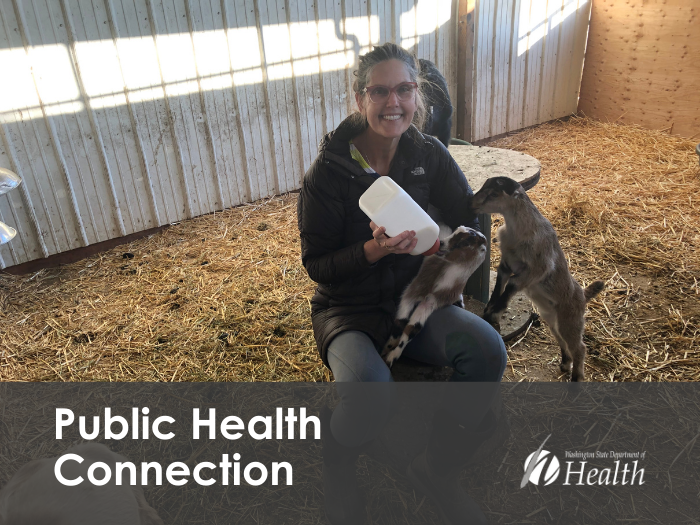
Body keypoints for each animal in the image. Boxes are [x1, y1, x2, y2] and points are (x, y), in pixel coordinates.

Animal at [382, 227, 486, 366]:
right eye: (455, 232)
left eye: (466, 242)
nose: (440, 243)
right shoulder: (412, 291)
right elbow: (401, 321)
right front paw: (387, 348)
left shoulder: (430, 303)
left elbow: (413, 329)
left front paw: (391, 356)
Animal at [474, 176, 604, 380]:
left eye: (494, 193)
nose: (471, 203)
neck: (518, 231)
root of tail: (583, 295)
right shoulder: (506, 263)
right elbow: (499, 285)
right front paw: (489, 308)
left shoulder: (538, 268)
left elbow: (511, 285)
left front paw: (494, 313)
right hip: (552, 318)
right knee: (563, 340)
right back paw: (565, 364)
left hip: (571, 319)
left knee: (580, 347)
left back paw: (576, 377)